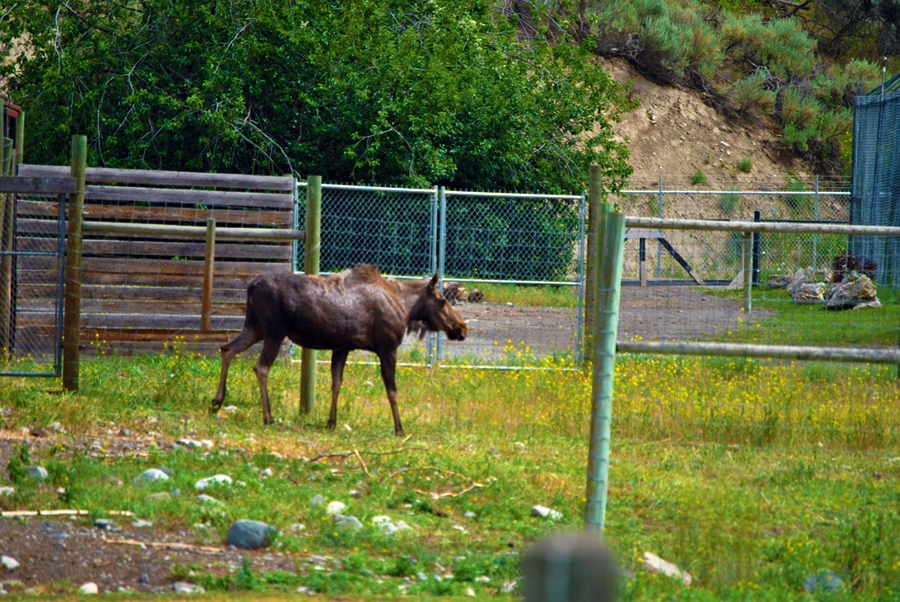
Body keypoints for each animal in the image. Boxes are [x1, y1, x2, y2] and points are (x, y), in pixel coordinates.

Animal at [208, 262, 468, 432]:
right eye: (442, 300)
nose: (462, 327)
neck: (406, 309)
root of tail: (251, 285)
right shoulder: (387, 348)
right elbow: (392, 392)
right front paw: (399, 427)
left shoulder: (342, 348)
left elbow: (336, 384)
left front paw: (331, 422)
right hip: (274, 331)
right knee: (260, 367)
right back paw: (268, 416)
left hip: (254, 326)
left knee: (227, 348)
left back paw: (217, 402)